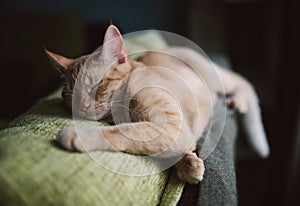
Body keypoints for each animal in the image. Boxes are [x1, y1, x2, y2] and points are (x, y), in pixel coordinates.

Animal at [45, 25, 270, 184]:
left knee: (243, 84)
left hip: (218, 79)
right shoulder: (175, 131)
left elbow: (123, 131)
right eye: (70, 94)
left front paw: (78, 135)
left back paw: (238, 102)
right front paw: (188, 165)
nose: (81, 106)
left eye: (97, 84)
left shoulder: (169, 125)